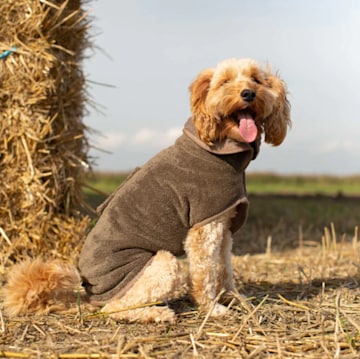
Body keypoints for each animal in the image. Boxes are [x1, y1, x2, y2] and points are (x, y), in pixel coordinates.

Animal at [2, 58, 290, 324]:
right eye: (225, 82)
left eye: (256, 80)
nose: (248, 93)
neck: (217, 147)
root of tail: (89, 292)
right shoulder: (204, 228)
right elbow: (205, 272)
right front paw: (211, 308)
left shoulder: (224, 224)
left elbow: (225, 268)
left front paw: (234, 298)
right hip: (162, 265)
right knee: (114, 308)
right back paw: (158, 313)